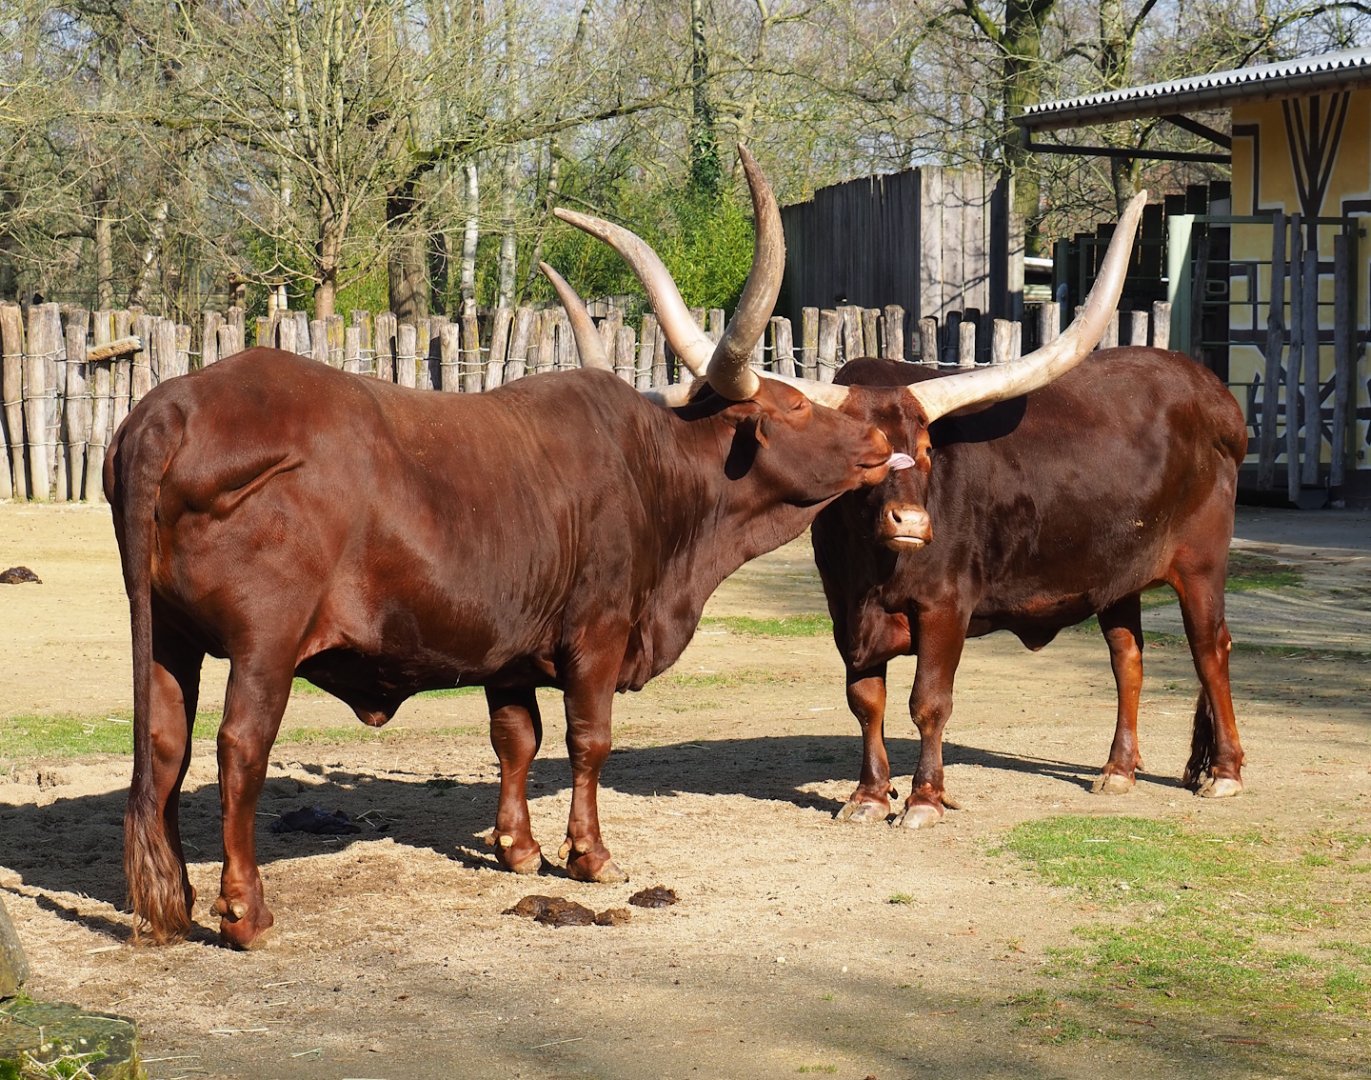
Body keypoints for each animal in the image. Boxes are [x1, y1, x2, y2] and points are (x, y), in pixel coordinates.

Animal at [107, 149, 904, 949]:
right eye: (794, 404)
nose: (878, 439)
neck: (650, 471)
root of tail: (169, 408)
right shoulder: (597, 634)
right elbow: (589, 739)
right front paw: (589, 855)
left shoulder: (509, 650)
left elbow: (516, 737)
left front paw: (517, 848)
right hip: (264, 646)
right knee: (239, 747)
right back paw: (245, 911)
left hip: (167, 637)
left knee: (166, 744)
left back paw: (170, 903)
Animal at [803, 197, 1248, 829]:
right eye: (864, 456)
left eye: (927, 449)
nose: (911, 524)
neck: (870, 569)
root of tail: (1215, 396)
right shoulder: (844, 612)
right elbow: (866, 701)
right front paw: (867, 796)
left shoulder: (945, 606)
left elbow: (928, 701)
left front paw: (923, 799)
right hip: (1116, 575)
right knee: (1127, 657)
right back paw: (1118, 770)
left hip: (1202, 565)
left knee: (1211, 650)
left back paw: (1226, 773)